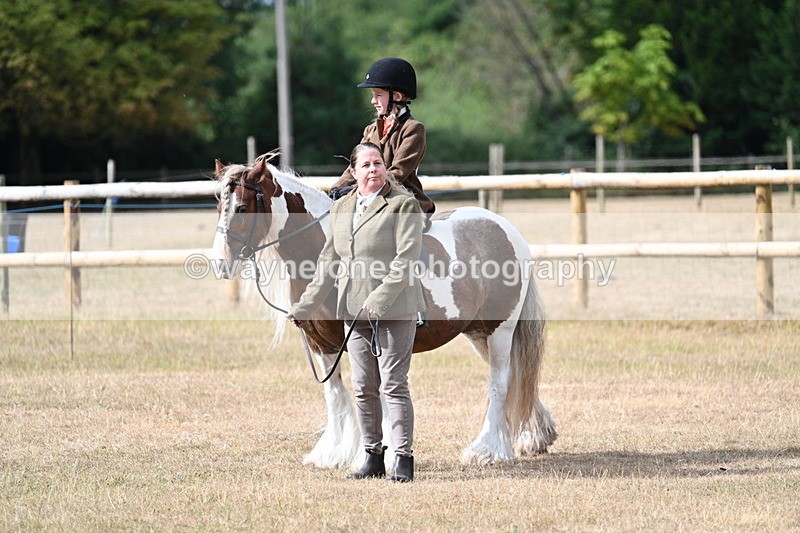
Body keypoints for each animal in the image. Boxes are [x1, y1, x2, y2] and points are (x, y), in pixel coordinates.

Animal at [211, 153, 556, 469]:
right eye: (218, 206)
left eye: (241, 208)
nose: (220, 264)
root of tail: (505, 228)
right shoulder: (321, 344)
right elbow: (335, 393)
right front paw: (333, 454)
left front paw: (386, 455)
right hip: (478, 332)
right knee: (516, 376)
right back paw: (535, 435)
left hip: (501, 329)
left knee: (500, 382)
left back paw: (487, 450)